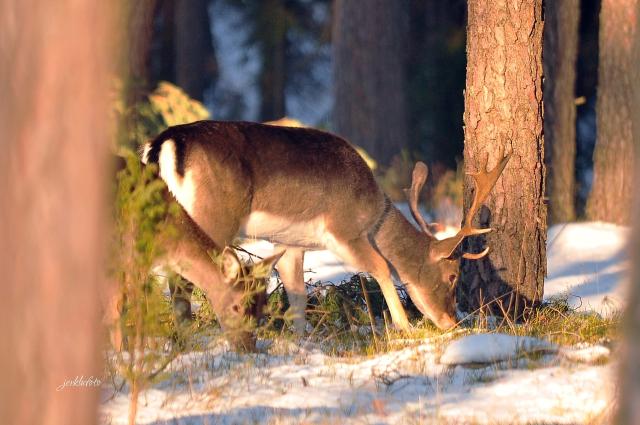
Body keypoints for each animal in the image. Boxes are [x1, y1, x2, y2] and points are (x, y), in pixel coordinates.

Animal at [140, 119, 510, 332]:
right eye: (452, 276)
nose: (451, 322)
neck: (373, 212)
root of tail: (163, 145)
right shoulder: (343, 228)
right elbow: (381, 266)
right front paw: (405, 328)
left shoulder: (290, 242)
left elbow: (297, 290)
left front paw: (301, 341)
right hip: (213, 215)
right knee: (183, 277)